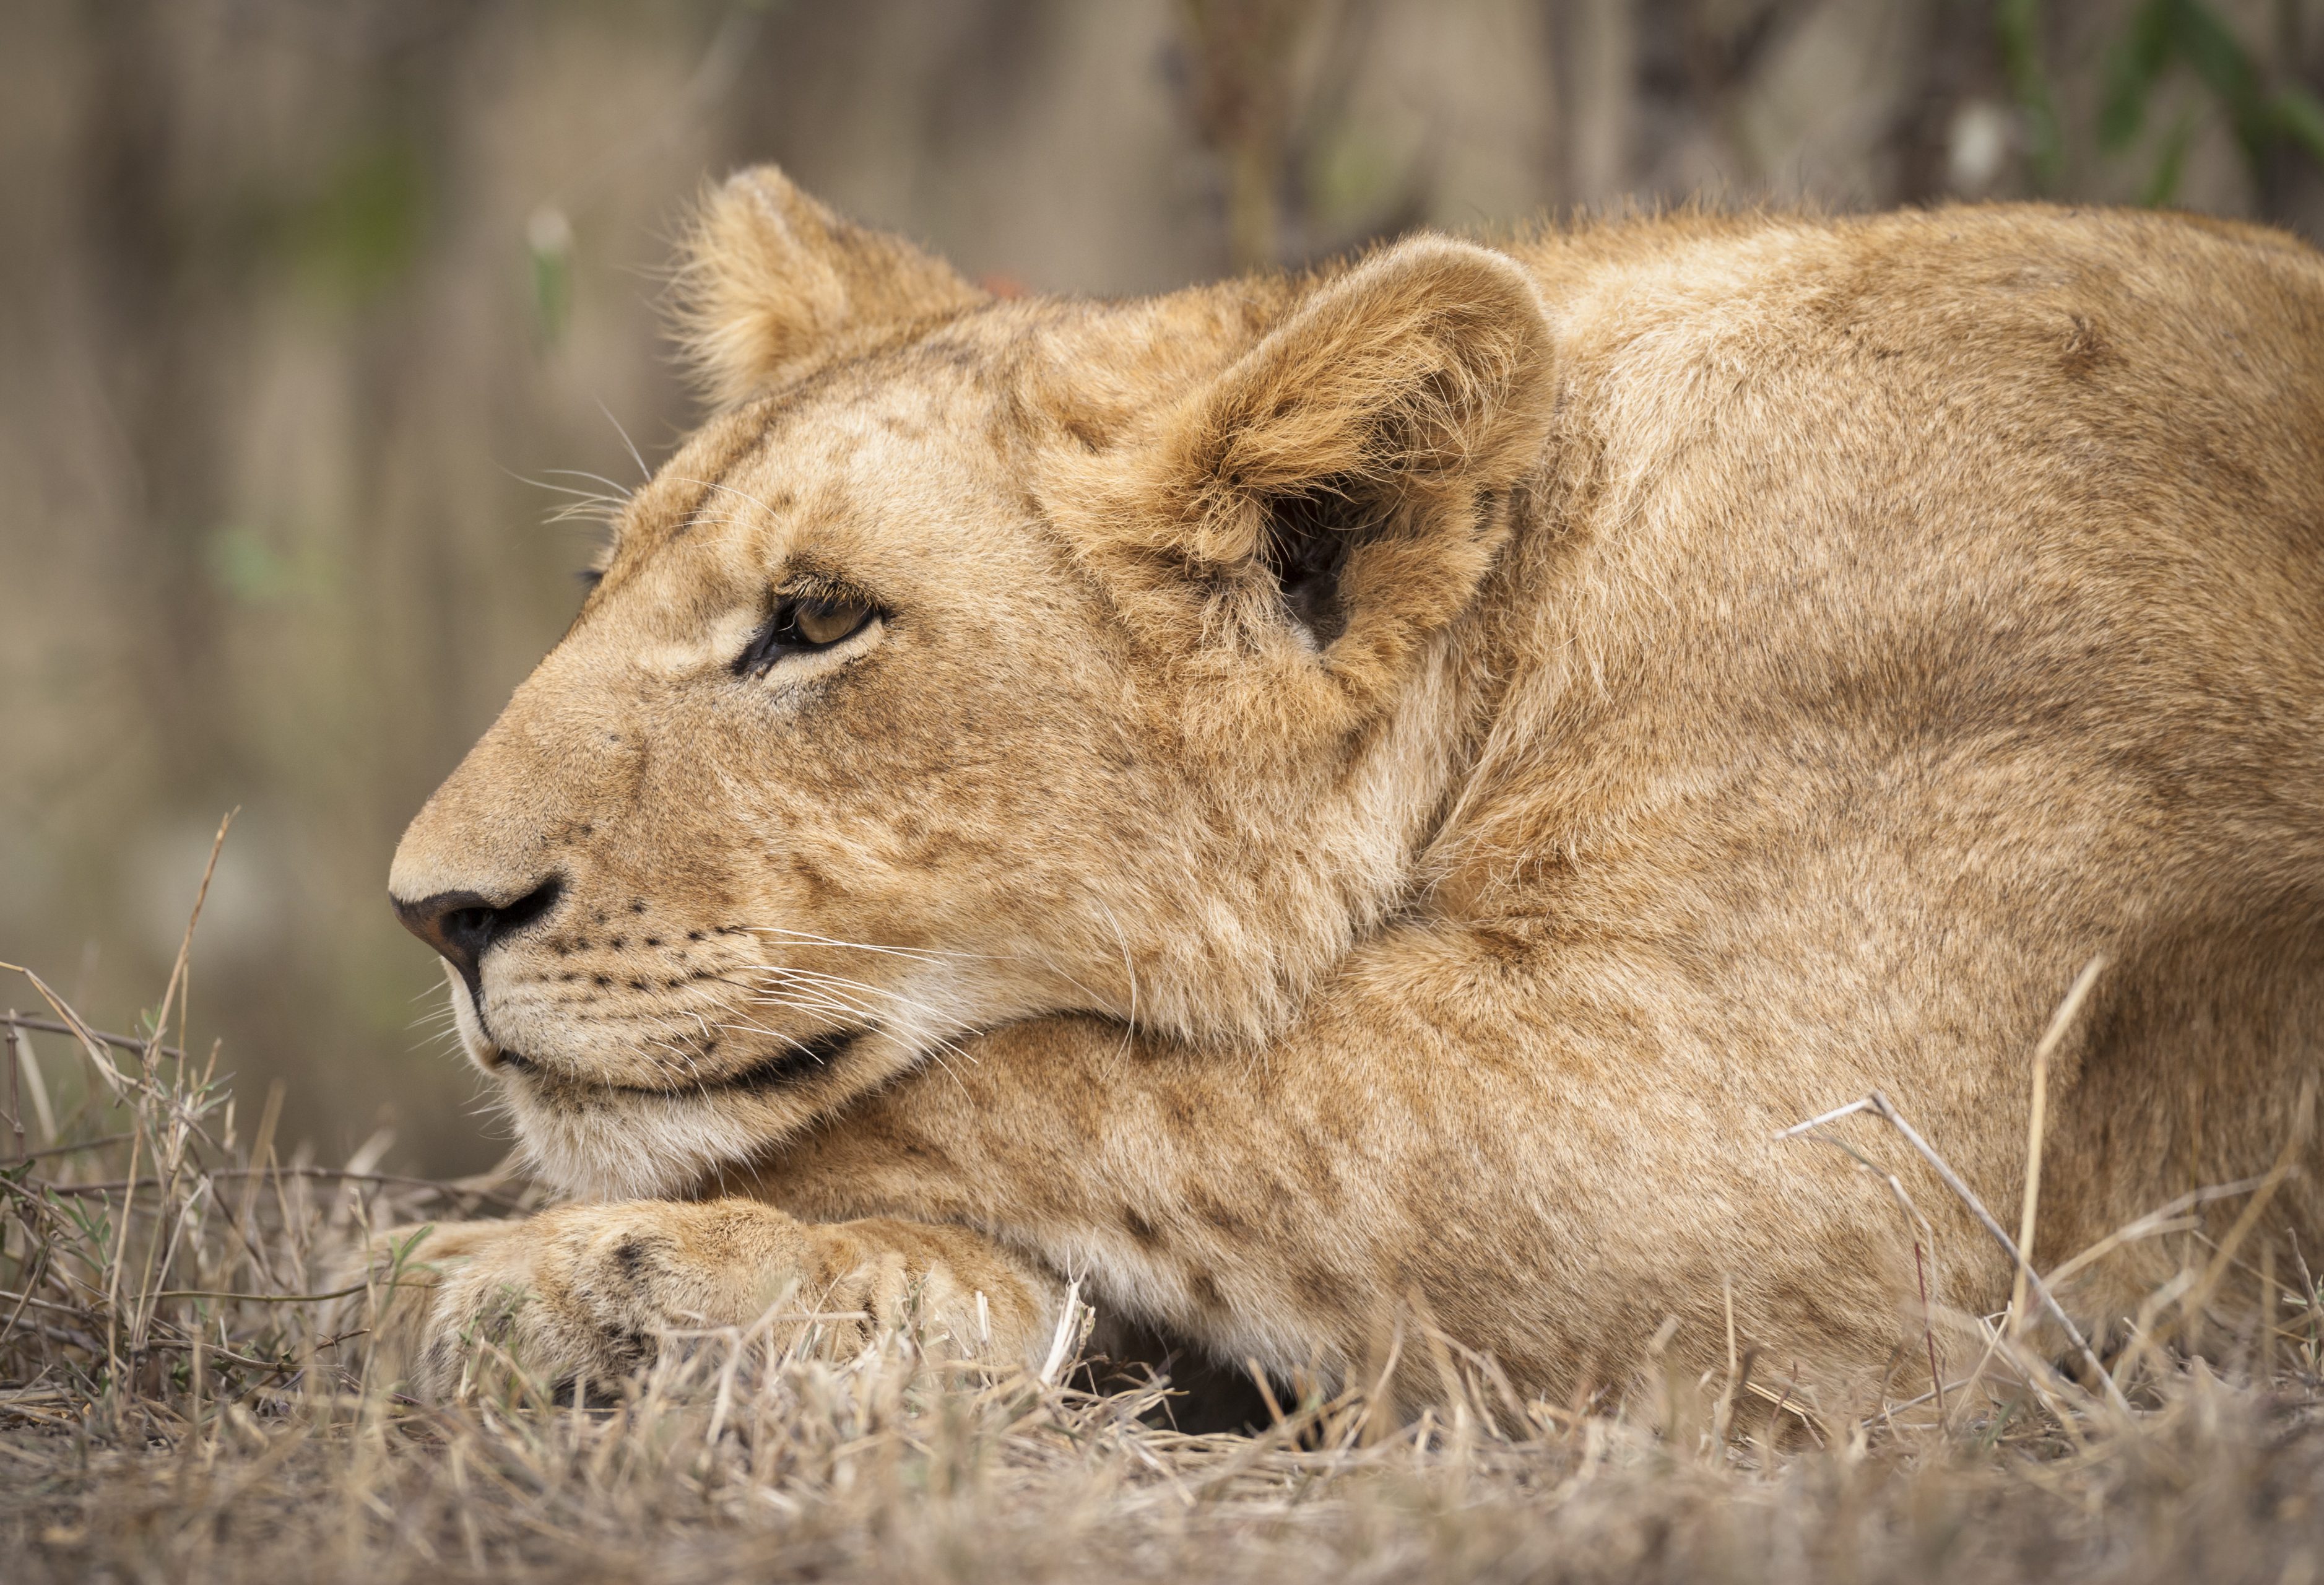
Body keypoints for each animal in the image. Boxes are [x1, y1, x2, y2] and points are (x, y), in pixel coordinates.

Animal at [380, 166, 2324, 1410]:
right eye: (601, 584)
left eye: (817, 619)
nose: (436, 913)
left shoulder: (1774, 1150)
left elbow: (1079, 1082)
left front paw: (535, 1268)